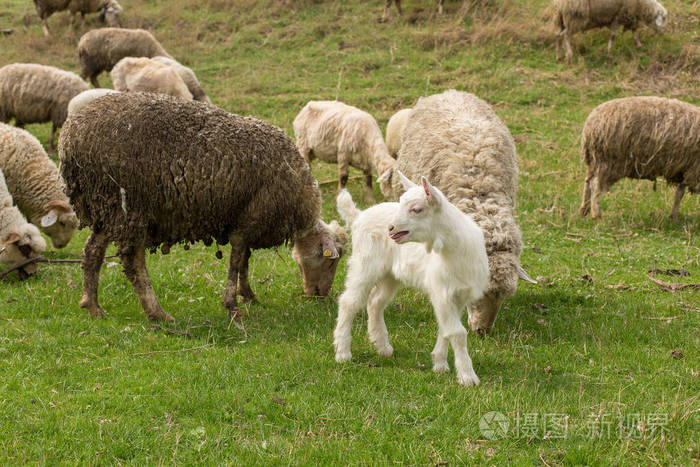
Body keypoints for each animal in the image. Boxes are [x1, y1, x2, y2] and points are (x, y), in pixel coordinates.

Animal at [57, 93, 348, 324]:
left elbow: (244, 261)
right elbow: (236, 261)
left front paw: (248, 295)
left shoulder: (243, 218)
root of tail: (69, 137)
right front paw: (233, 306)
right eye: (331, 261)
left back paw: (93, 306)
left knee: (92, 252)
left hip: (105, 206)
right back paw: (157, 314)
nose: (319, 296)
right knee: (133, 262)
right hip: (129, 207)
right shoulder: (249, 221)